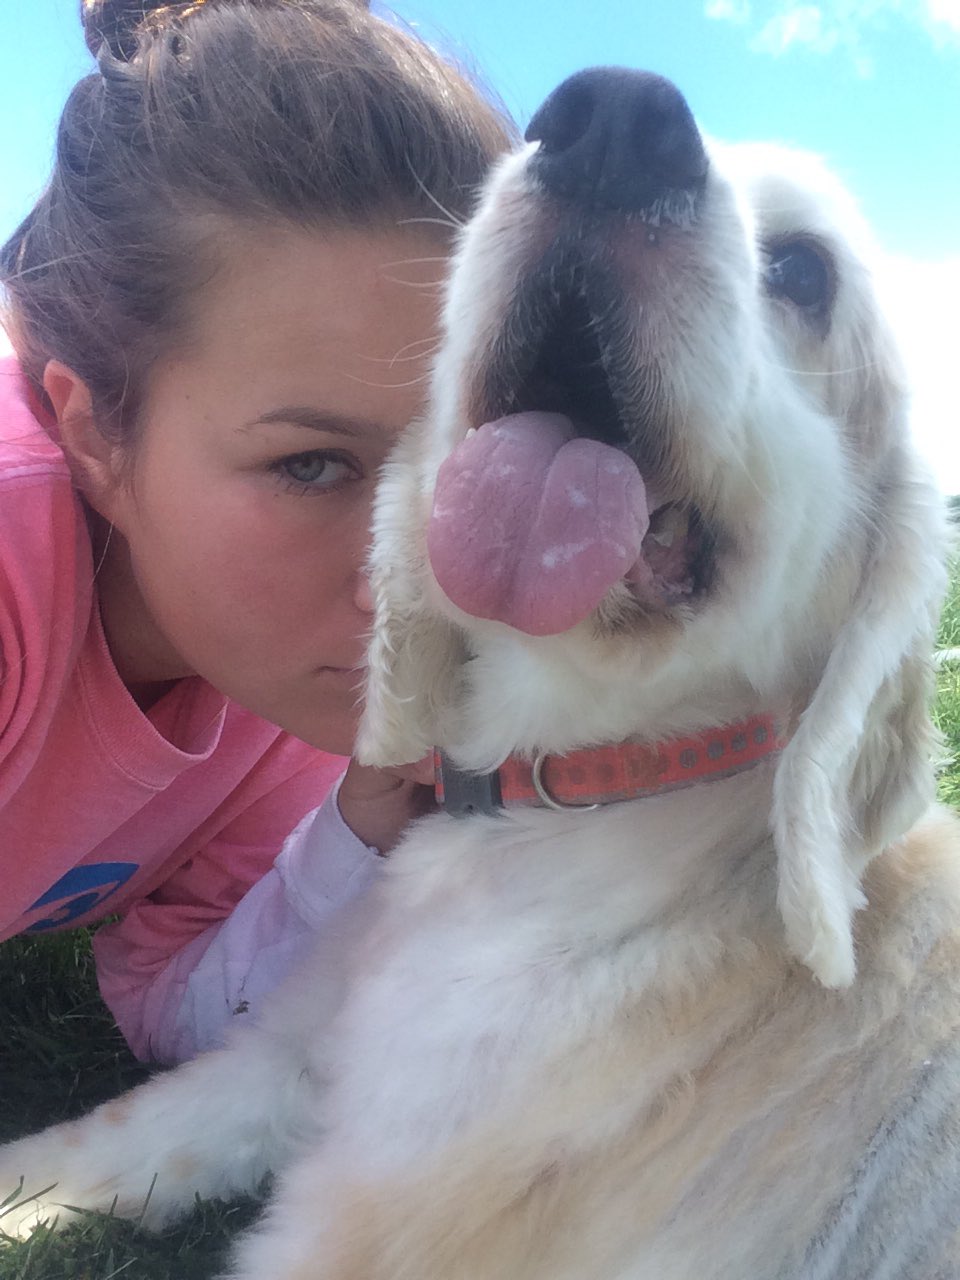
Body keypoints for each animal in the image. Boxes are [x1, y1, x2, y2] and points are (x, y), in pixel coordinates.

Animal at [2, 68, 958, 1279]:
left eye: (804, 271)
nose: (616, 120)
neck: (549, 799)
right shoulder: (283, 1054)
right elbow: (86, 1143)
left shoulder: (360, 1219)